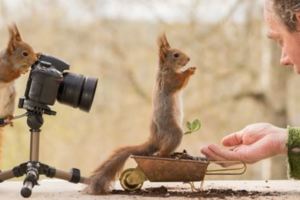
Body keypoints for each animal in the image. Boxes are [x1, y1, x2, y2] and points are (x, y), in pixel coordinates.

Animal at [85, 34, 197, 194]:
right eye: (176, 55)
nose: (188, 59)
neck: (166, 68)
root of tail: (154, 140)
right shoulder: (167, 80)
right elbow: (178, 82)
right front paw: (189, 70)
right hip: (174, 133)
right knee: (161, 153)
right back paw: (171, 155)